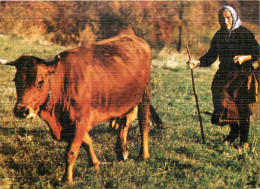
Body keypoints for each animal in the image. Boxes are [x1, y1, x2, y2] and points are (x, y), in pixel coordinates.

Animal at [0, 28, 150, 183]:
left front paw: (67, 179)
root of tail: (129, 34)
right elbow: (87, 141)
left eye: (40, 82)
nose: (21, 110)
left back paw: (143, 155)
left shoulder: (81, 120)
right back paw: (122, 151)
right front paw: (94, 163)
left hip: (145, 94)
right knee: (124, 121)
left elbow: (71, 151)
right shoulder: (72, 124)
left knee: (143, 123)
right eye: (15, 80)